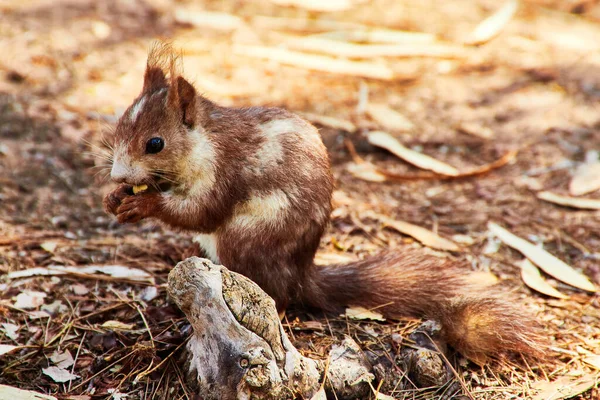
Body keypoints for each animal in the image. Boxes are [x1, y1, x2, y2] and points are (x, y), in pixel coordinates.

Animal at [103, 45, 544, 364]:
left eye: (155, 143)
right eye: (119, 125)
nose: (119, 175)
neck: (203, 142)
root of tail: (301, 274)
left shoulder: (224, 172)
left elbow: (202, 212)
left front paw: (144, 205)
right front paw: (115, 198)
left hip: (247, 240)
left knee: (276, 297)